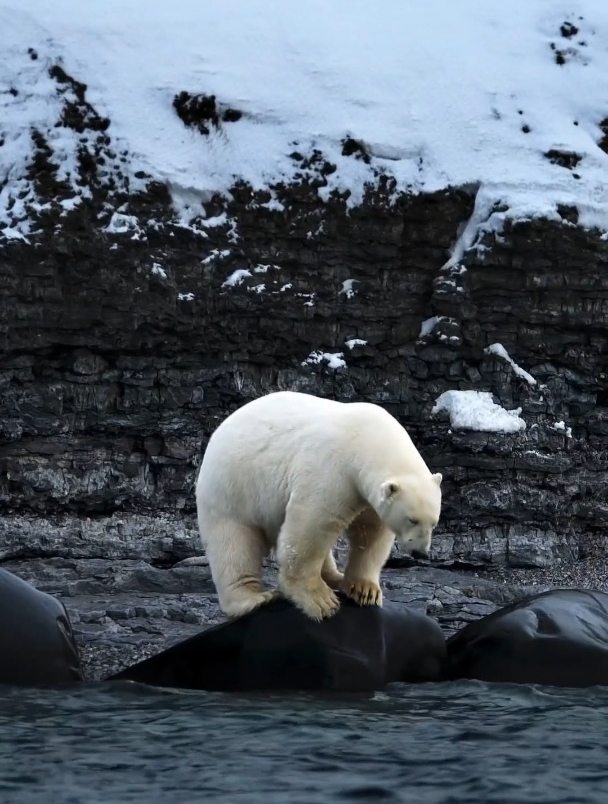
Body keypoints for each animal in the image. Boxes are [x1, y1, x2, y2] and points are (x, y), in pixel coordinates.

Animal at [195, 390, 442, 621]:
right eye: (412, 519)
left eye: (434, 523)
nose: (420, 552)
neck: (367, 438)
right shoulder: (332, 468)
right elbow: (311, 527)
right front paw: (321, 601)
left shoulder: (366, 495)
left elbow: (370, 534)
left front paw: (365, 590)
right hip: (232, 490)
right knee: (234, 545)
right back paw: (255, 599)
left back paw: (335, 577)